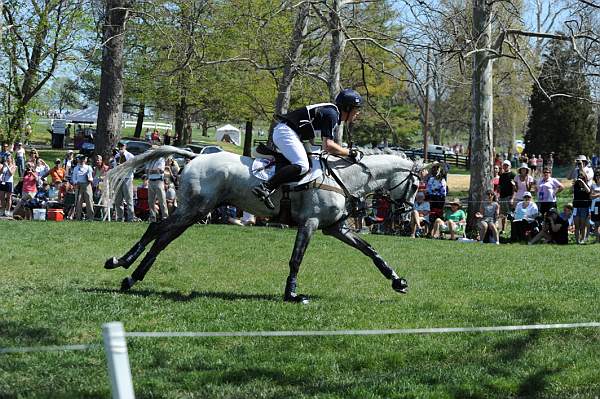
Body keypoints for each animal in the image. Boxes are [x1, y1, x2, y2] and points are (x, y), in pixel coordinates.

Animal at [103, 146, 422, 304]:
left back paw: (129, 273)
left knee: (161, 235)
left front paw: (398, 281)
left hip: (194, 211)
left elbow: (370, 251)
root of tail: (197, 156)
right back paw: (124, 267)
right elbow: (296, 259)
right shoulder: (310, 223)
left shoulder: (335, 228)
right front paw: (292, 294)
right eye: (416, 186)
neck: (343, 178)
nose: (407, 215)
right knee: (158, 232)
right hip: (194, 210)